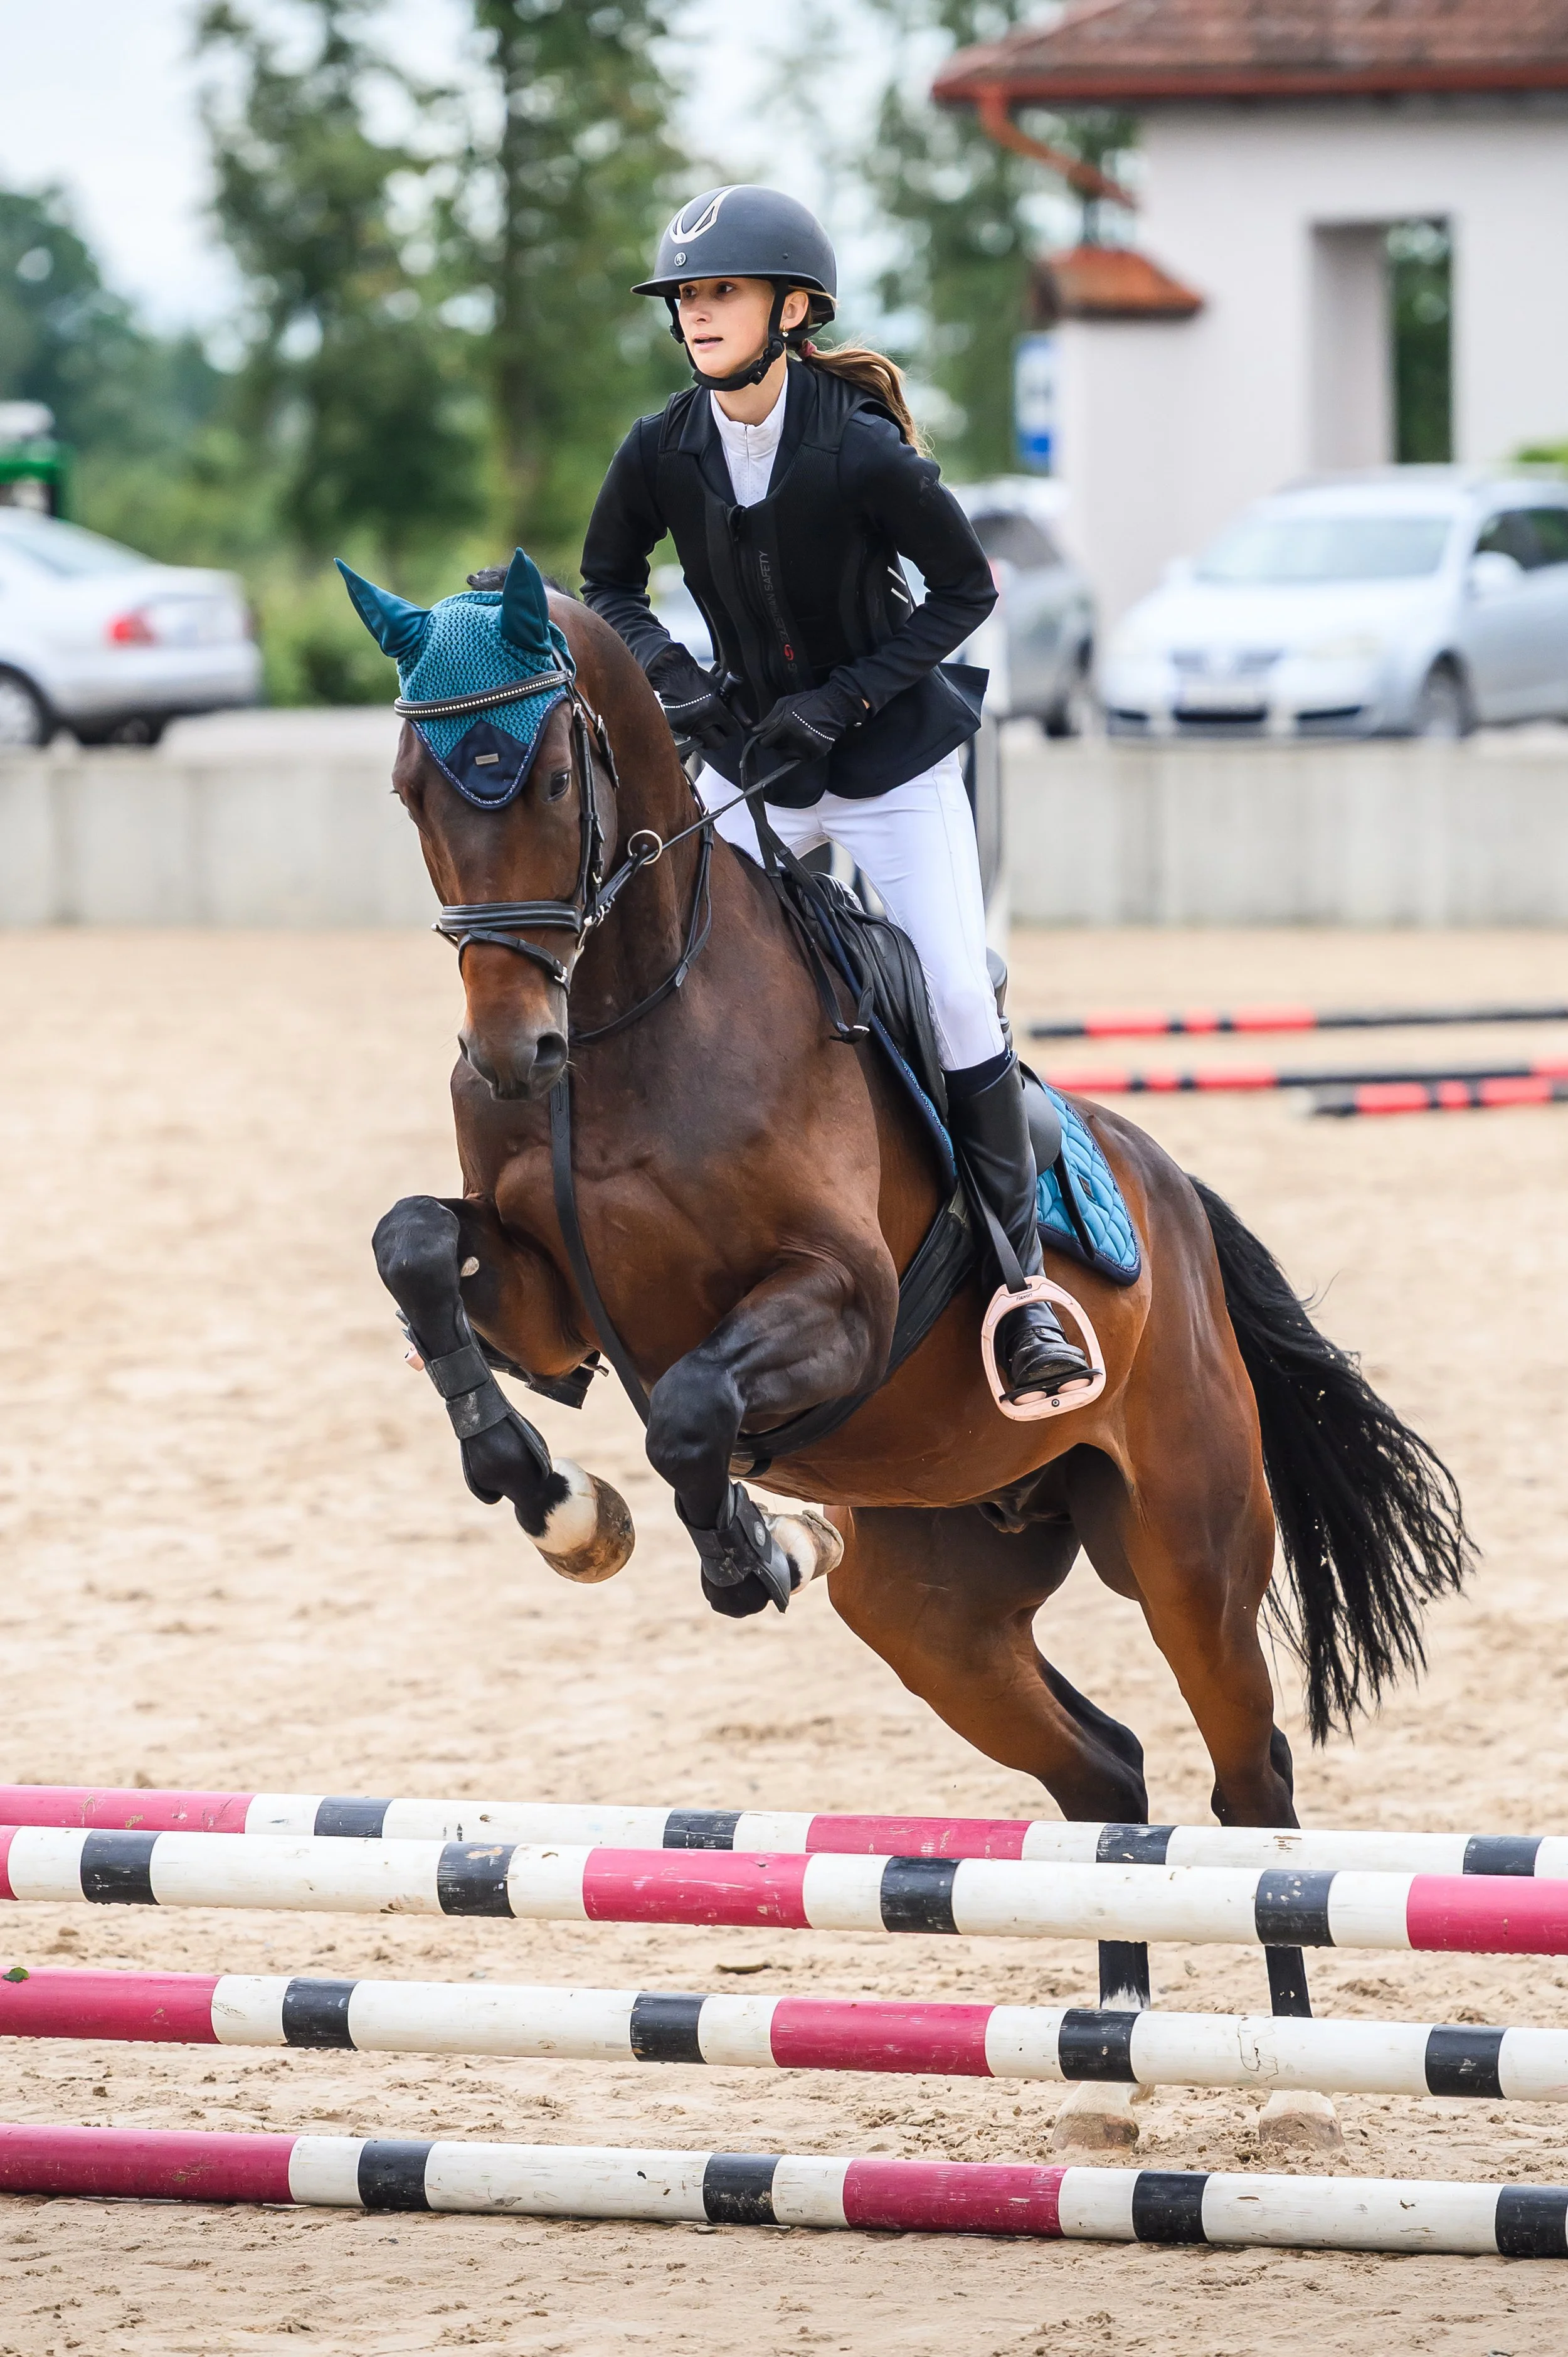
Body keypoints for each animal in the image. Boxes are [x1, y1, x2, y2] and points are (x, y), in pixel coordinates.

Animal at [357, 550, 1471, 2155]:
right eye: (411, 791)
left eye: (555, 778)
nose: (512, 1055)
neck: (628, 1019)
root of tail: (1175, 1197)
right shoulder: (547, 1307)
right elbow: (411, 1252)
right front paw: (557, 1502)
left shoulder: (838, 1305)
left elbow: (688, 1409)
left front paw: (745, 1547)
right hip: (935, 1610)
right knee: (1103, 1770)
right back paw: (1107, 2059)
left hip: (1188, 1543)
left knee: (1247, 1779)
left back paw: (1287, 2085)